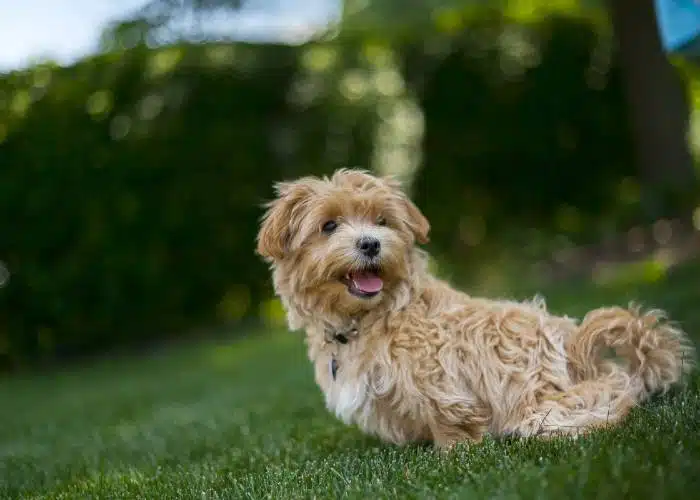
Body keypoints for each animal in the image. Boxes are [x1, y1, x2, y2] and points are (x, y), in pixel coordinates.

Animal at [256, 169, 696, 450]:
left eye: (382, 221)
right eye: (329, 226)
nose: (370, 243)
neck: (371, 317)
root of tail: (575, 344)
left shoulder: (438, 376)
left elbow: (448, 416)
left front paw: (452, 453)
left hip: (540, 397)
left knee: (613, 396)